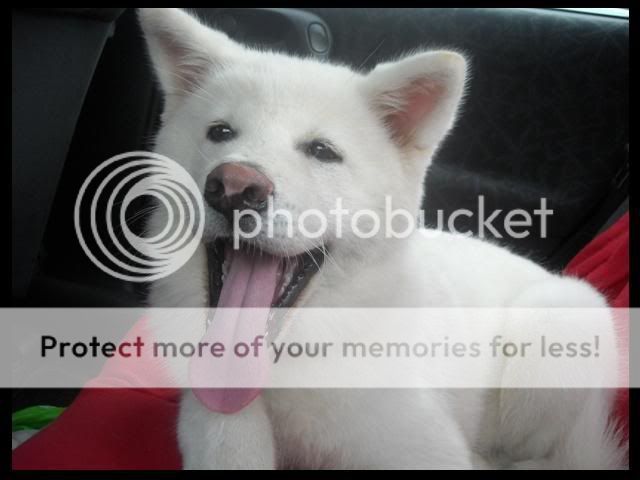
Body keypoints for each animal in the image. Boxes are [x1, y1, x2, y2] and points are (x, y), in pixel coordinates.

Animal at [138, 8, 627, 469]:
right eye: (220, 132)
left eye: (322, 151)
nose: (234, 188)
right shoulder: (212, 412)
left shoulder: (427, 449)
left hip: (553, 328)